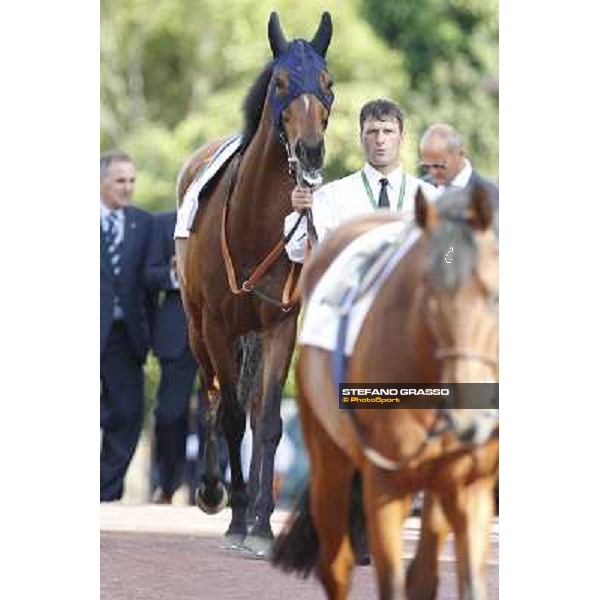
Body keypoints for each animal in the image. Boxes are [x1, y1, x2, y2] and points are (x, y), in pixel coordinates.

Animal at [173, 10, 336, 552]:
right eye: (281, 82)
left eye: (327, 83)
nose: (310, 151)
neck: (254, 221)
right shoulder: (219, 326)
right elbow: (228, 414)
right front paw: (240, 514)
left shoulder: (280, 322)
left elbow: (266, 419)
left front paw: (263, 522)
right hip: (196, 328)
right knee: (211, 395)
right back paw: (211, 491)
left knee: (254, 401)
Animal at [274, 184, 500, 600]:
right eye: (427, 296)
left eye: (495, 296)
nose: (468, 418)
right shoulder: (385, 483)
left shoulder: (470, 485)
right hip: (329, 460)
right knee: (336, 565)